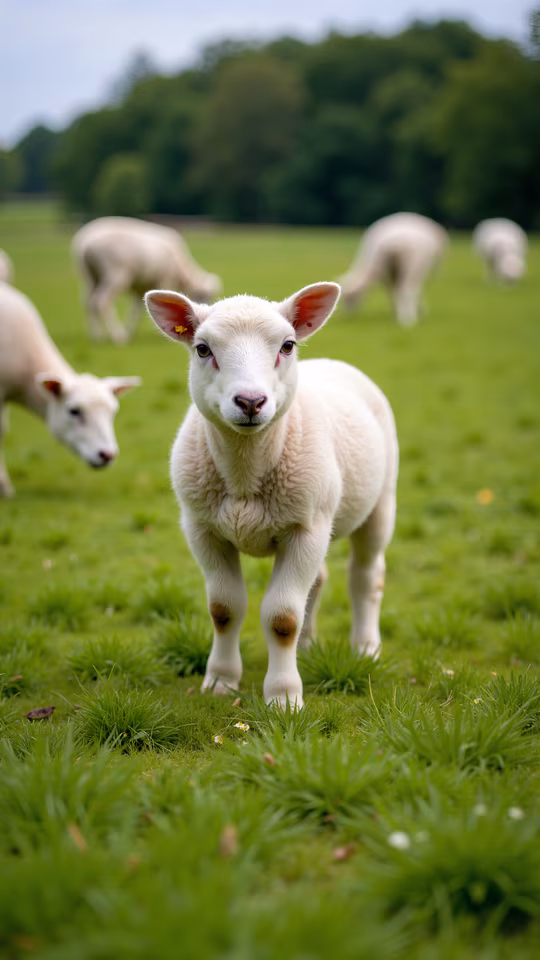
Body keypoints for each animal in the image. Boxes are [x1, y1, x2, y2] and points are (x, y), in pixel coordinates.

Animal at [72, 217, 223, 344]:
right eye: (201, 294)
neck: (181, 269)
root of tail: (87, 245)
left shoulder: (141, 287)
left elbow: (137, 310)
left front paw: (131, 331)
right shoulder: (165, 280)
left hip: (89, 276)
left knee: (88, 303)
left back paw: (97, 336)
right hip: (114, 274)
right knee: (102, 302)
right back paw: (118, 336)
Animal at [144, 281, 398, 708]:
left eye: (287, 345)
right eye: (202, 349)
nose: (250, 402)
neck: (245, 473)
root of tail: (332, 361)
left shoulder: (305, 529)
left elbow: (282, 618)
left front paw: (283, 697)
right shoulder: (202, 529)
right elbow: (224, 609)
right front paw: (220, 681)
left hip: (379, 503)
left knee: (366, 577)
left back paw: (366, 648)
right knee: (319, 580)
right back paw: (308, 647)